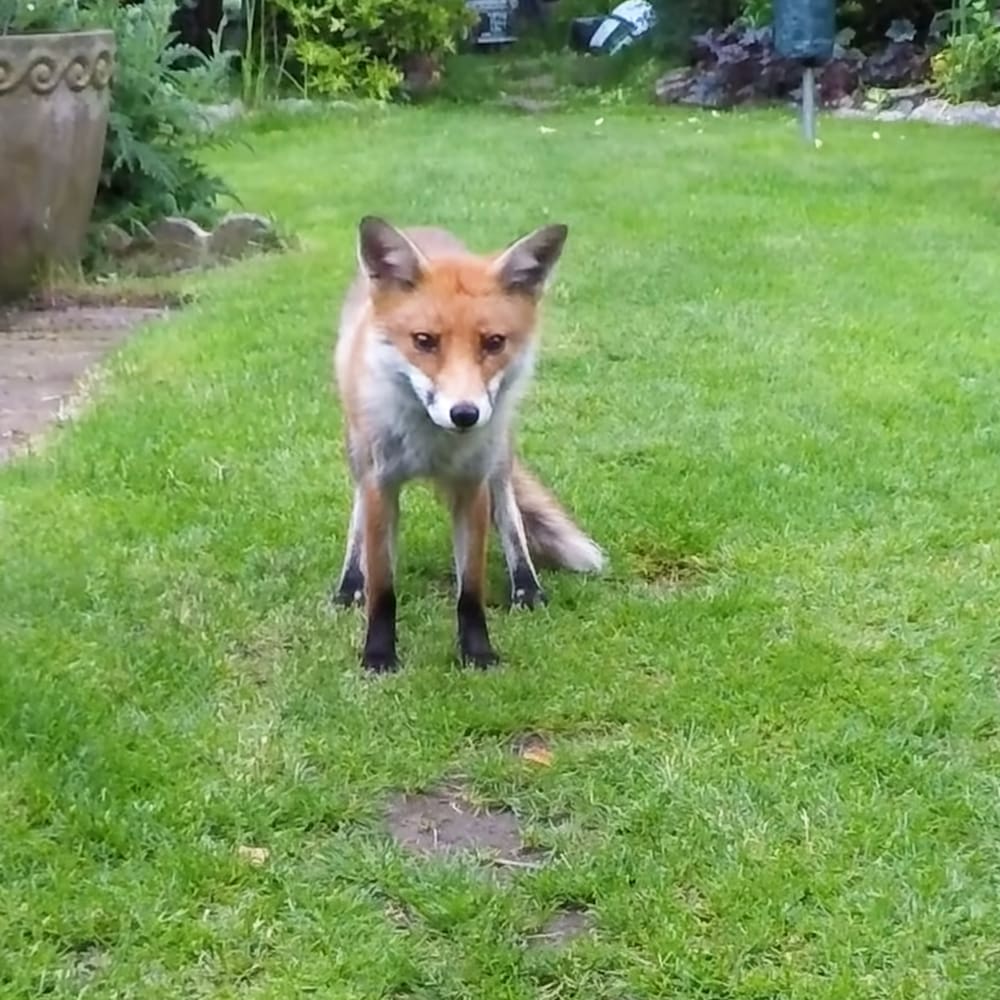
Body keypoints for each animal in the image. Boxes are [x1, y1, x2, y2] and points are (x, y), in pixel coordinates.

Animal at [331, 216, 604, 673]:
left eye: (493, 342)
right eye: (424, 340)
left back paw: (526, 586)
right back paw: (350, 582)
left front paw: (477, 652)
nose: (464, 413)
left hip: (499, 451)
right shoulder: (380, 486)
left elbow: (470, 591)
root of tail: (422, 228)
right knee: (357, 518)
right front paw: (379, 655)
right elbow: (383, 590)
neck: (432, 447)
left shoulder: (472, 487)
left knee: (510, 511)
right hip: (357, 450)